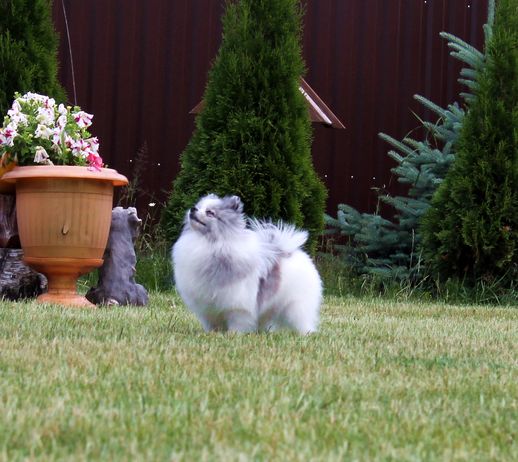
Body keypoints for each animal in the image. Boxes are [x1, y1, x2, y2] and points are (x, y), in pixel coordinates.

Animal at [172, 194, 322, 334]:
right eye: (198, 206)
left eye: (210, 213)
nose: (193, 209)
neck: (210, 243)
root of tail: (289, 251)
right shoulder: (207, 307)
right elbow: (212, 322)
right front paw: (213, 333)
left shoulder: (237, 305)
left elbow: (238, 321)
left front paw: (233, 334)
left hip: (296, 305)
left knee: (302, 319)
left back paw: (306, 333)